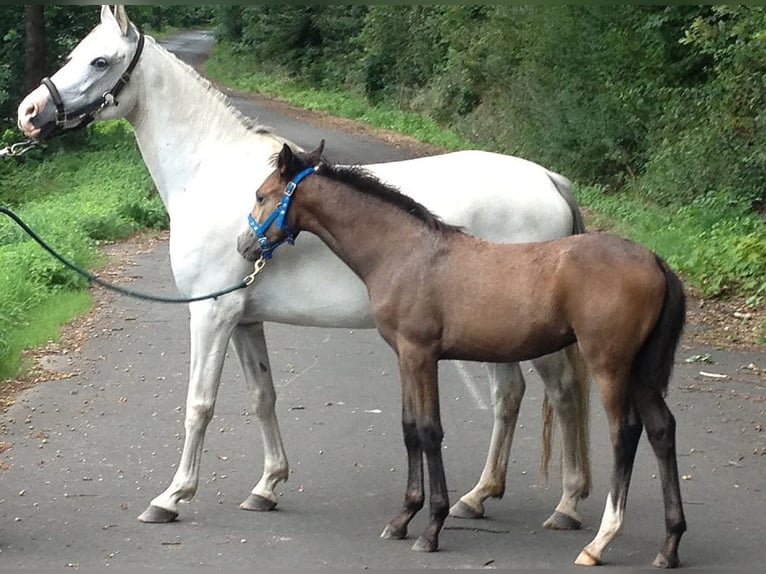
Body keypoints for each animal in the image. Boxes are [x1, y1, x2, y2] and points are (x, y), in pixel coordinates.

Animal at [16, 3, 592, 536]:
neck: (212, 174)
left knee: (563, 395)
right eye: (74, 53)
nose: (29, 111)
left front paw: (172, 497)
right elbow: (262, 396)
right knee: (509, 397)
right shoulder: (244, 318)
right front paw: (267, 486)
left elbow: (199, 404)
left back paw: (566, 505)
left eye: (100, 60)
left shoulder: (211, 314)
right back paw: (478, 497)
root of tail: (549, 179)